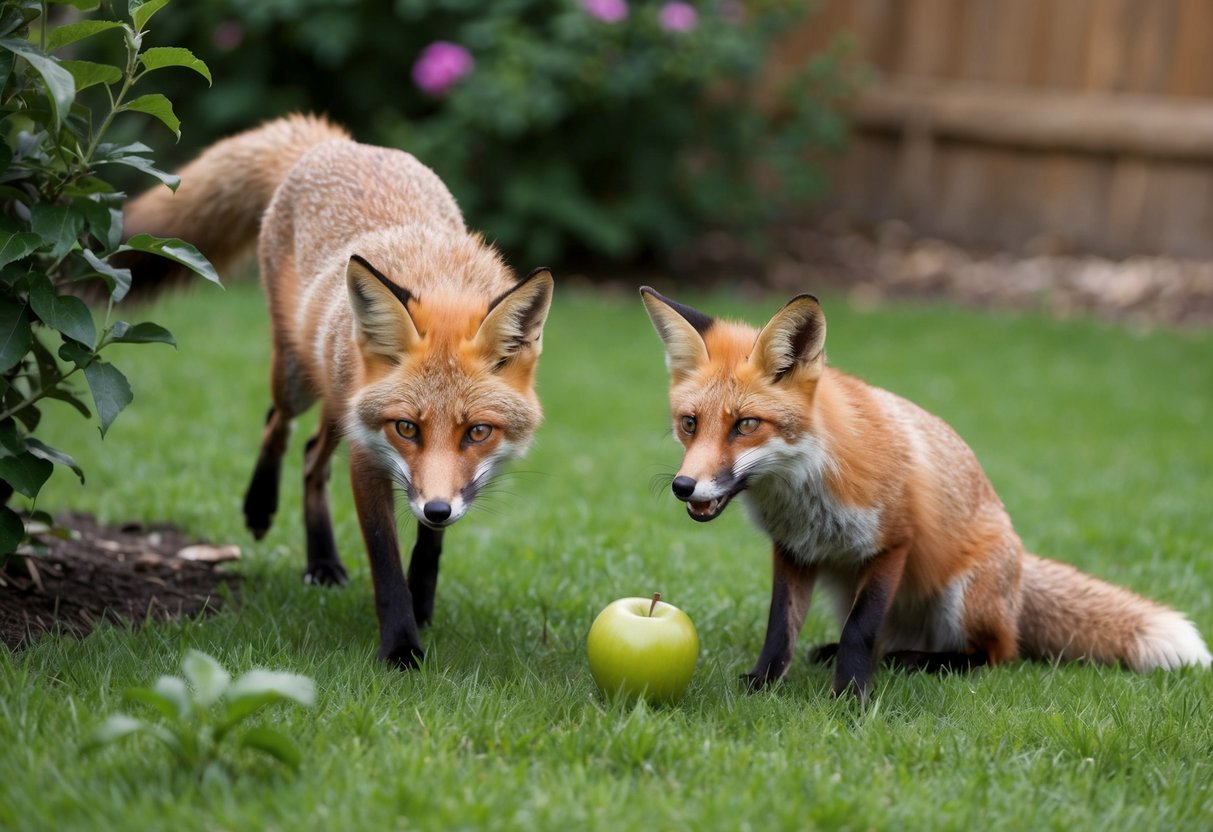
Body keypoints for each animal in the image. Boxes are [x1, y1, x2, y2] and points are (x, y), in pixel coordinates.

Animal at [122, 115, 554, 669]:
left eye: (478, 431)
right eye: (406, 427)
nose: (436, 510)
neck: (439, 278)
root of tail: (338, 143)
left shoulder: (420, 471)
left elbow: (428, 545)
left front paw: (422, 600)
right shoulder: (369, 456)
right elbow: (386, 564)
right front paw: (401, 647)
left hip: (337, 401)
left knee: (310, 456)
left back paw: (322, 560)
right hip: (299, 378)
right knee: (276, 426)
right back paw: (260, 506)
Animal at [640, 286, 1211, 700]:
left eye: (745, 425)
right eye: (690, 424)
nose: (684, 486)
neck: (806, 487)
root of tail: (1021, 568)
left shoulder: (894, 542)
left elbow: (861, 631)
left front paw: (850, 699)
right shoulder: (794, 550)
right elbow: (781, 628)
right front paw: (764, 684)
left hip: (963, 598)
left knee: (997, 653)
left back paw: (923, 664)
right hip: (844, 583)